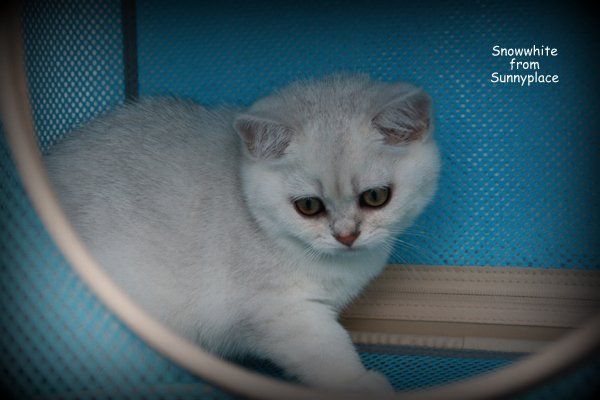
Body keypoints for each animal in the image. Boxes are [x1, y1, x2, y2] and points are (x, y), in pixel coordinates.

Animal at [45, 74, 441, 393]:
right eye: (308, 206)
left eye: (375, 197)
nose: (346, 236)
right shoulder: (280, 312)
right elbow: (327, 350)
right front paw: (358, 383)